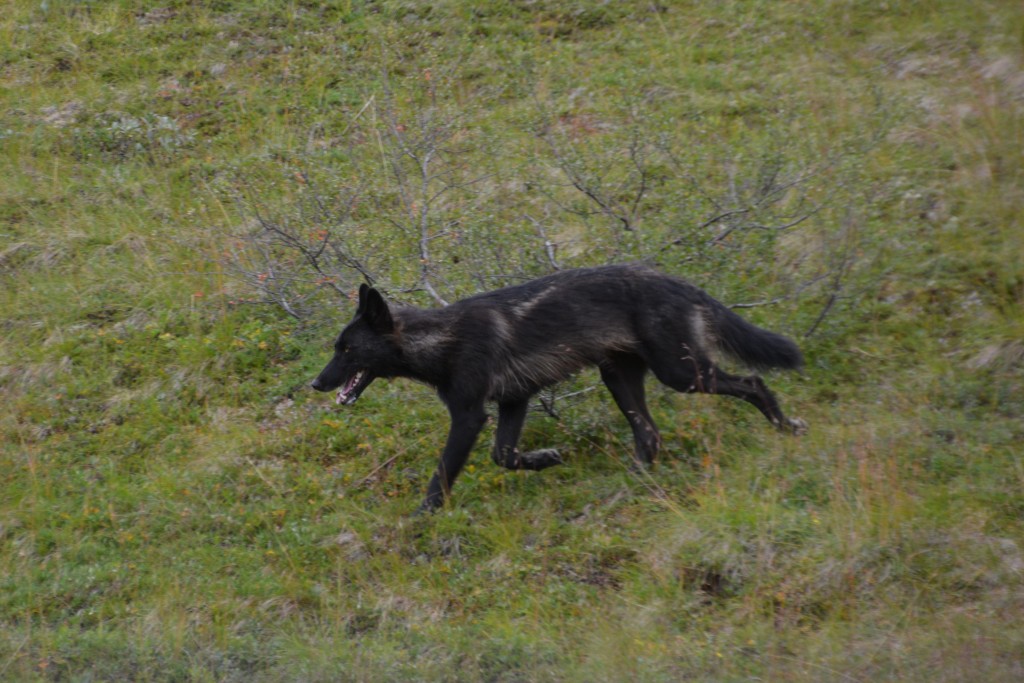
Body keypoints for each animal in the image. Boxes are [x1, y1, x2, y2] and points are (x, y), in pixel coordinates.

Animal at [307, 264, 802, 509]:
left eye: (346, 350)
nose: (315, 383)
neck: (442, 341)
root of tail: (682, 284)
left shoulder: (469, 416)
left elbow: (441, 476)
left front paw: (421, 521)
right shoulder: (514, 400)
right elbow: (504, 456)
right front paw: (546, 459)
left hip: (682, 376)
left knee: (754, 381)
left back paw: (785, 427)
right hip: (620, 379)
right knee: (650, 437)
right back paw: (624, 488)